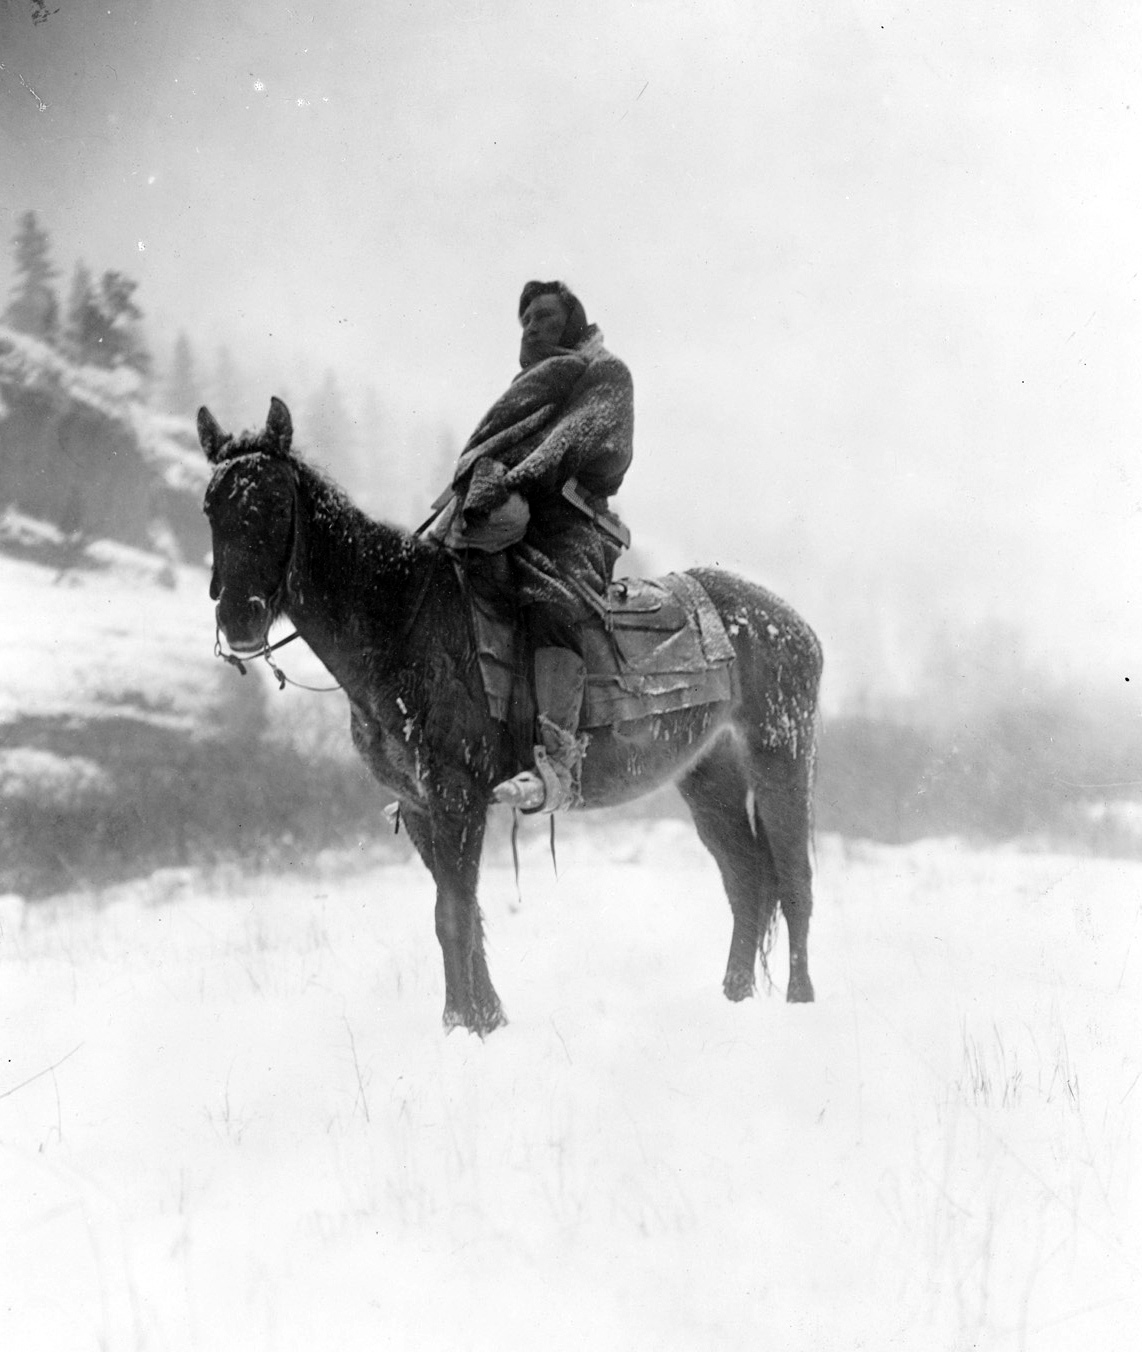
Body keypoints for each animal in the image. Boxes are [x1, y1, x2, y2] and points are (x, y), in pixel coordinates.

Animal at [195, 394, 821, 1027]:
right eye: (210, 507)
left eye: (275, 503)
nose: (239, 619)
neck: (402, 624)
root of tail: (792, 623)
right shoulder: (419, 806)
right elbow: (461, 913)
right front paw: (485, 1020)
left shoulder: (456, 798)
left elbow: (452, 915)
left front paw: (462, 1026)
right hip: (707, 775)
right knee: (746, 879)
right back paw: (735, 997)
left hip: (781, 756)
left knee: (793, 878)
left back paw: (800, 999)